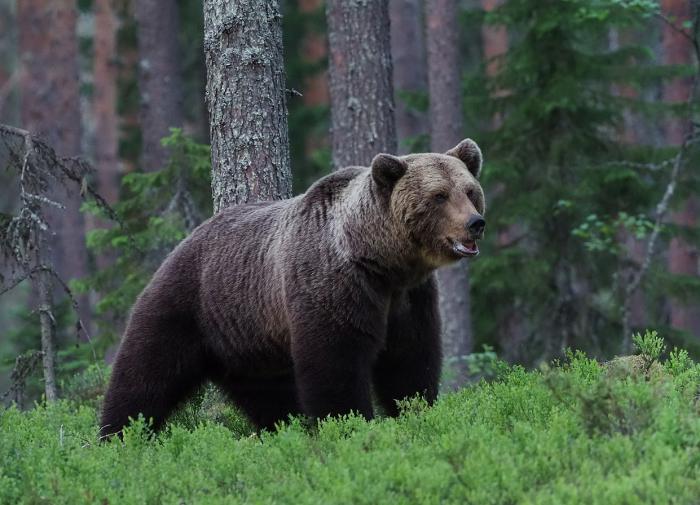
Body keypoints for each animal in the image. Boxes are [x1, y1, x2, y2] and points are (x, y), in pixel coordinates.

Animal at [100, 138, 486, 438]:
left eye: (469, 191)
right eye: (438, 196)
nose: (475, 223)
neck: (382, 261)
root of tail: (183, 241)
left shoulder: (409, 298)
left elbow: (410, 360)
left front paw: (415, 410)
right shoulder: (334, 285)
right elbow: (335, 364)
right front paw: (349, 424)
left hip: (248, 342)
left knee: (269, 397)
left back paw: (282, 429)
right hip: (188, 304)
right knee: (145, 374)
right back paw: (118, 436)